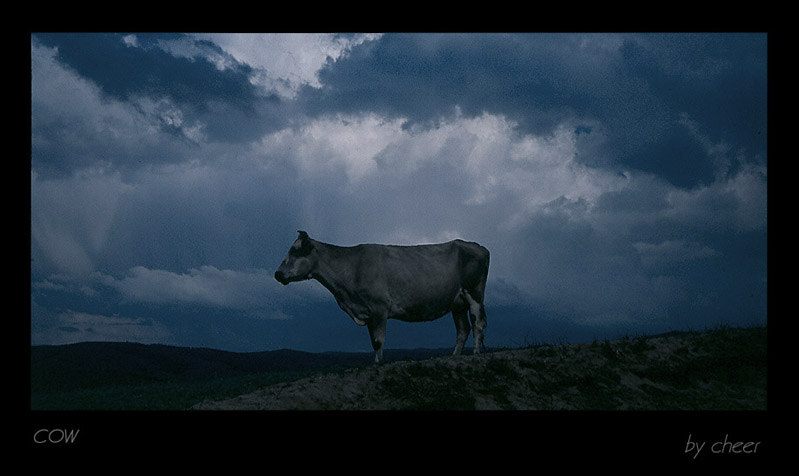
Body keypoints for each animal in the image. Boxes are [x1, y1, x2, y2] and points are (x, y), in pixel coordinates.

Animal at [276, 232, 488, 362]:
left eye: (295, 250)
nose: (277, 274)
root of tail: (477, 246)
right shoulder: (367, 312)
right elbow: (373, 341)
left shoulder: (379, 308)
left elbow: (378, 341)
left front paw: (378, 363)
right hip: (457, 302)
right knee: (463, 329)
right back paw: (455, 356)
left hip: (474, 293)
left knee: (477, 323)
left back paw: (476, 353)